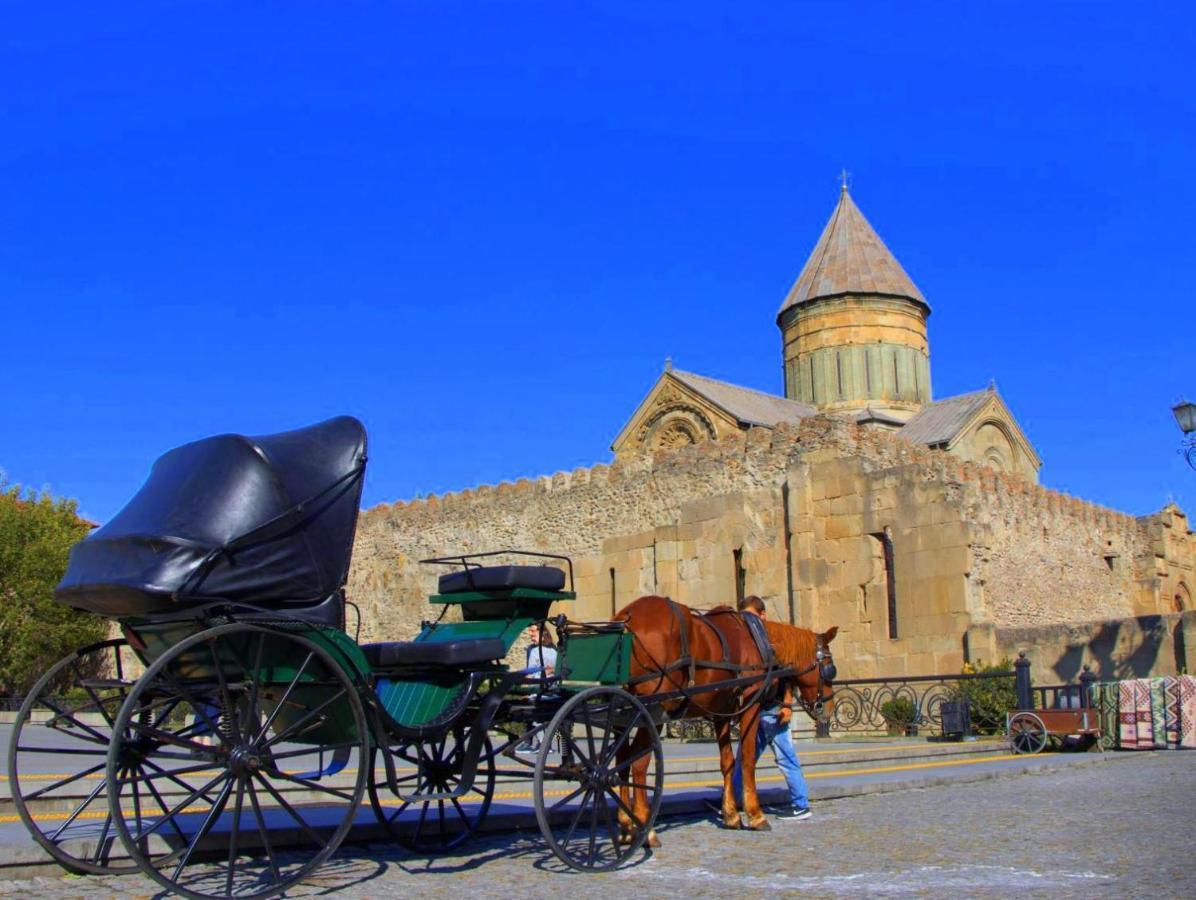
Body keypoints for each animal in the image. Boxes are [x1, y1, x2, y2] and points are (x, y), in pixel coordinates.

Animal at [612, 592, 837, 841]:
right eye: (830, 667)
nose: (828, 708)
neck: (760, 640)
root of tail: (627, 616)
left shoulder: (721, 712)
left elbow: (728, 761)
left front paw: (731, 815)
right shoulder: (750, 703)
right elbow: (747, 757)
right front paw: (756, 815)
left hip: (623, 712)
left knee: (621, 761)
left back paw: (626, 826)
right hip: (653, 711)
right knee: (639, 763)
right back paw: (646, 829)